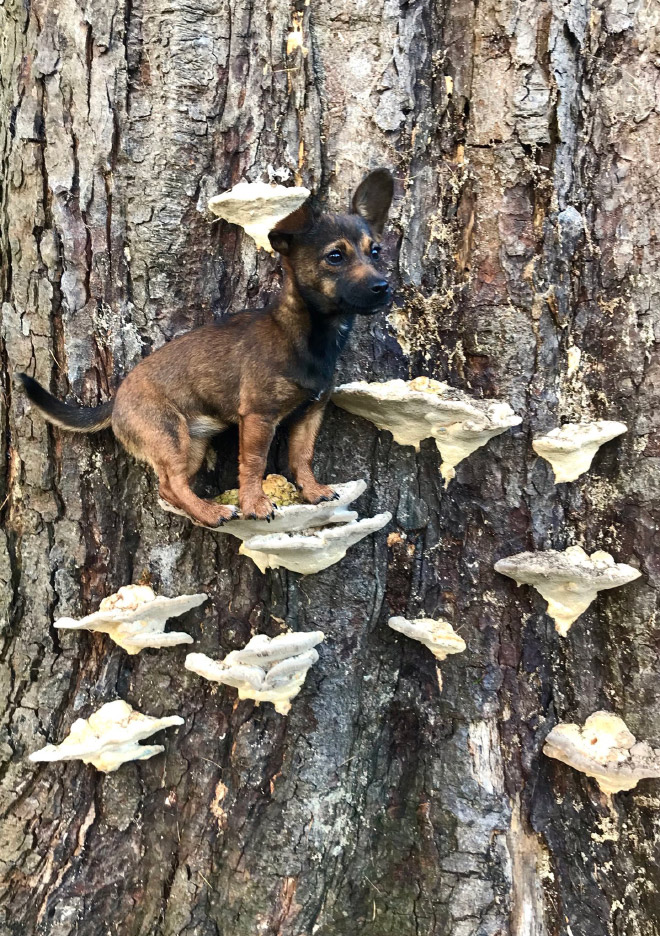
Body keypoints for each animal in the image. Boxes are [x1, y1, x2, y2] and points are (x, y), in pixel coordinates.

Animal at [18, 168, 394, 528]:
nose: (383, 287)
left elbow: (302, 456)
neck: (309, 333)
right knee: (171, 483)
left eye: (375, 251)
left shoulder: (311, 413)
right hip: (170, 437)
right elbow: (254, 463)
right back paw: (212, 512)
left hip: (192, 445)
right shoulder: (258, 417)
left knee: (170, 487)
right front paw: (255, 504)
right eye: (335, 256)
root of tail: (116, 401)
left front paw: (313, 491)